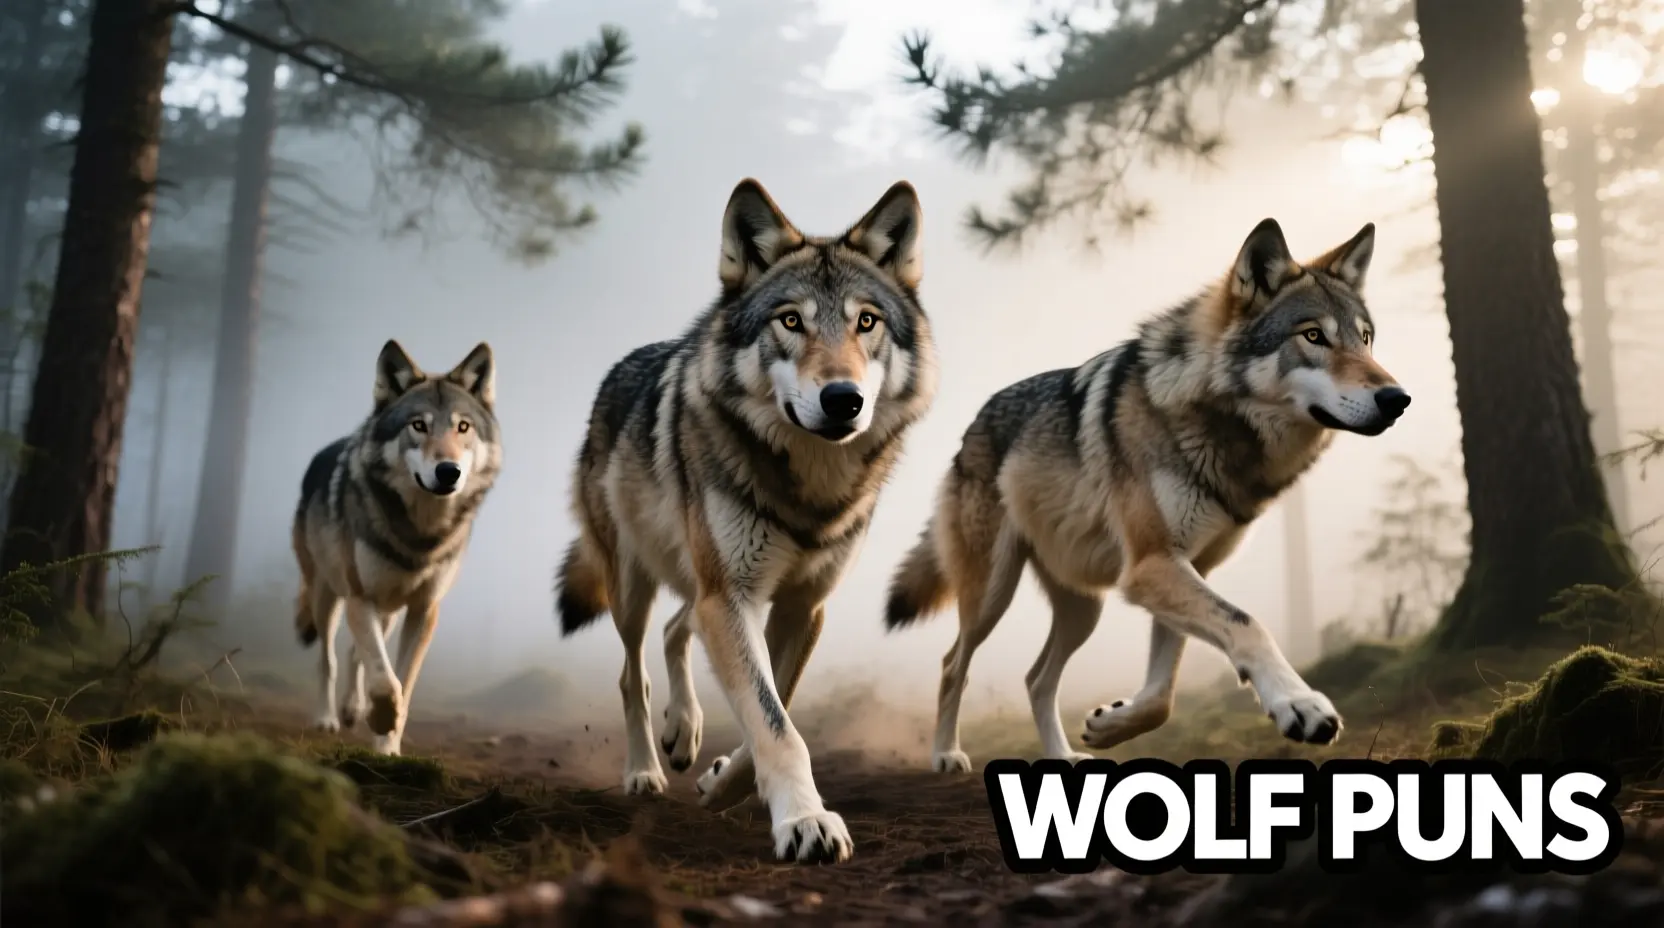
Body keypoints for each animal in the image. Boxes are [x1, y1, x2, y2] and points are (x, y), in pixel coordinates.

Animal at [292, 339, 502, 757]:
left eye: (463, 427)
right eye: (418, 425)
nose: (448, 471)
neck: (420, 535)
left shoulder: (424, 609)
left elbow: (401, 681)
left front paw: (387, 745)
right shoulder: (361, 597)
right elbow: (385, 680)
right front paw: (381, 720)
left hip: (387, 611)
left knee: (355, 654)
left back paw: (353, 710)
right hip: (328, 595)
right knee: (328, 658)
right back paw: (328, 717)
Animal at [553, 178, 936, 864]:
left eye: (866, 321)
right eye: (791, 320)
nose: (844, 399)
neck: (810, 490)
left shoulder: (799, 605)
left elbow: (775, 704)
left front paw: (723, 783)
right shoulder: (732, 596)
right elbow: (774, 721)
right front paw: (805, 821)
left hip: (701, 580)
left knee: (676, 629)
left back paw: (684, 731)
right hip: (632, 582)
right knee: (631, 674)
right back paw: (645, 769)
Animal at [884, 218, 1409, 774]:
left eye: (1366, 339)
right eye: (1313, 336)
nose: (1398, 399)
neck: (1216, 423)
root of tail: (971, 428)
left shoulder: (1184, 568)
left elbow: (1163, 694)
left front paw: (1111, 725)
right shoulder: (1152, 565)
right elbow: (1247, 625)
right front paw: (1300, 705)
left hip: (1083, 608)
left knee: (1036, 678)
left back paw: (1062, 756)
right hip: (991, 593)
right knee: (952, 665)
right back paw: (947, 754)